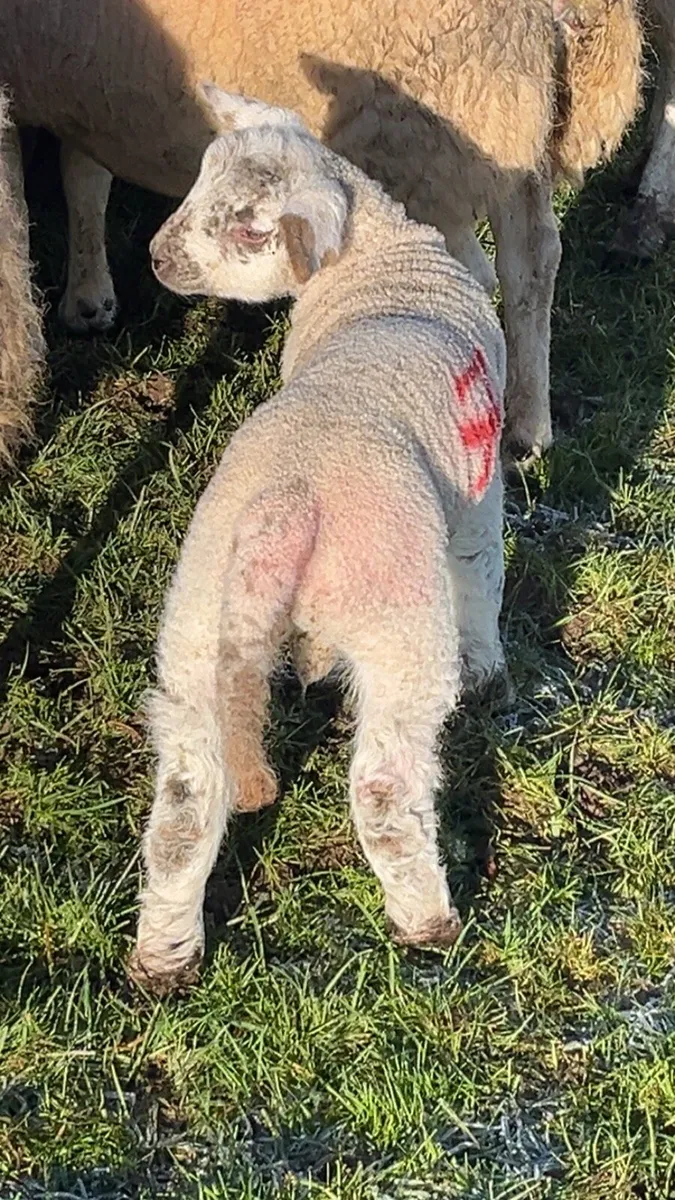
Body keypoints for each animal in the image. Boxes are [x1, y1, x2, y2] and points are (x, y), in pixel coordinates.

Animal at [0, 0, 642, 460]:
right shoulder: (78, 90)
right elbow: (84, 171)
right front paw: (90, 297)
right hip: (509, 132)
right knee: (530, 264)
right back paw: (527, 427)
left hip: (425, 132)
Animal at [128, 87, 508, 994]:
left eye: (246, 229)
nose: (155, 259)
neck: (379, 269)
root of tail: (287, 502)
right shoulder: (479, 492)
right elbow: (482, 570)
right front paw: (489, 669)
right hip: (396, 617)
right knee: (383, 788)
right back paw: (428, 924)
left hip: (197, 618)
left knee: (187, 800)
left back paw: (164, 958)